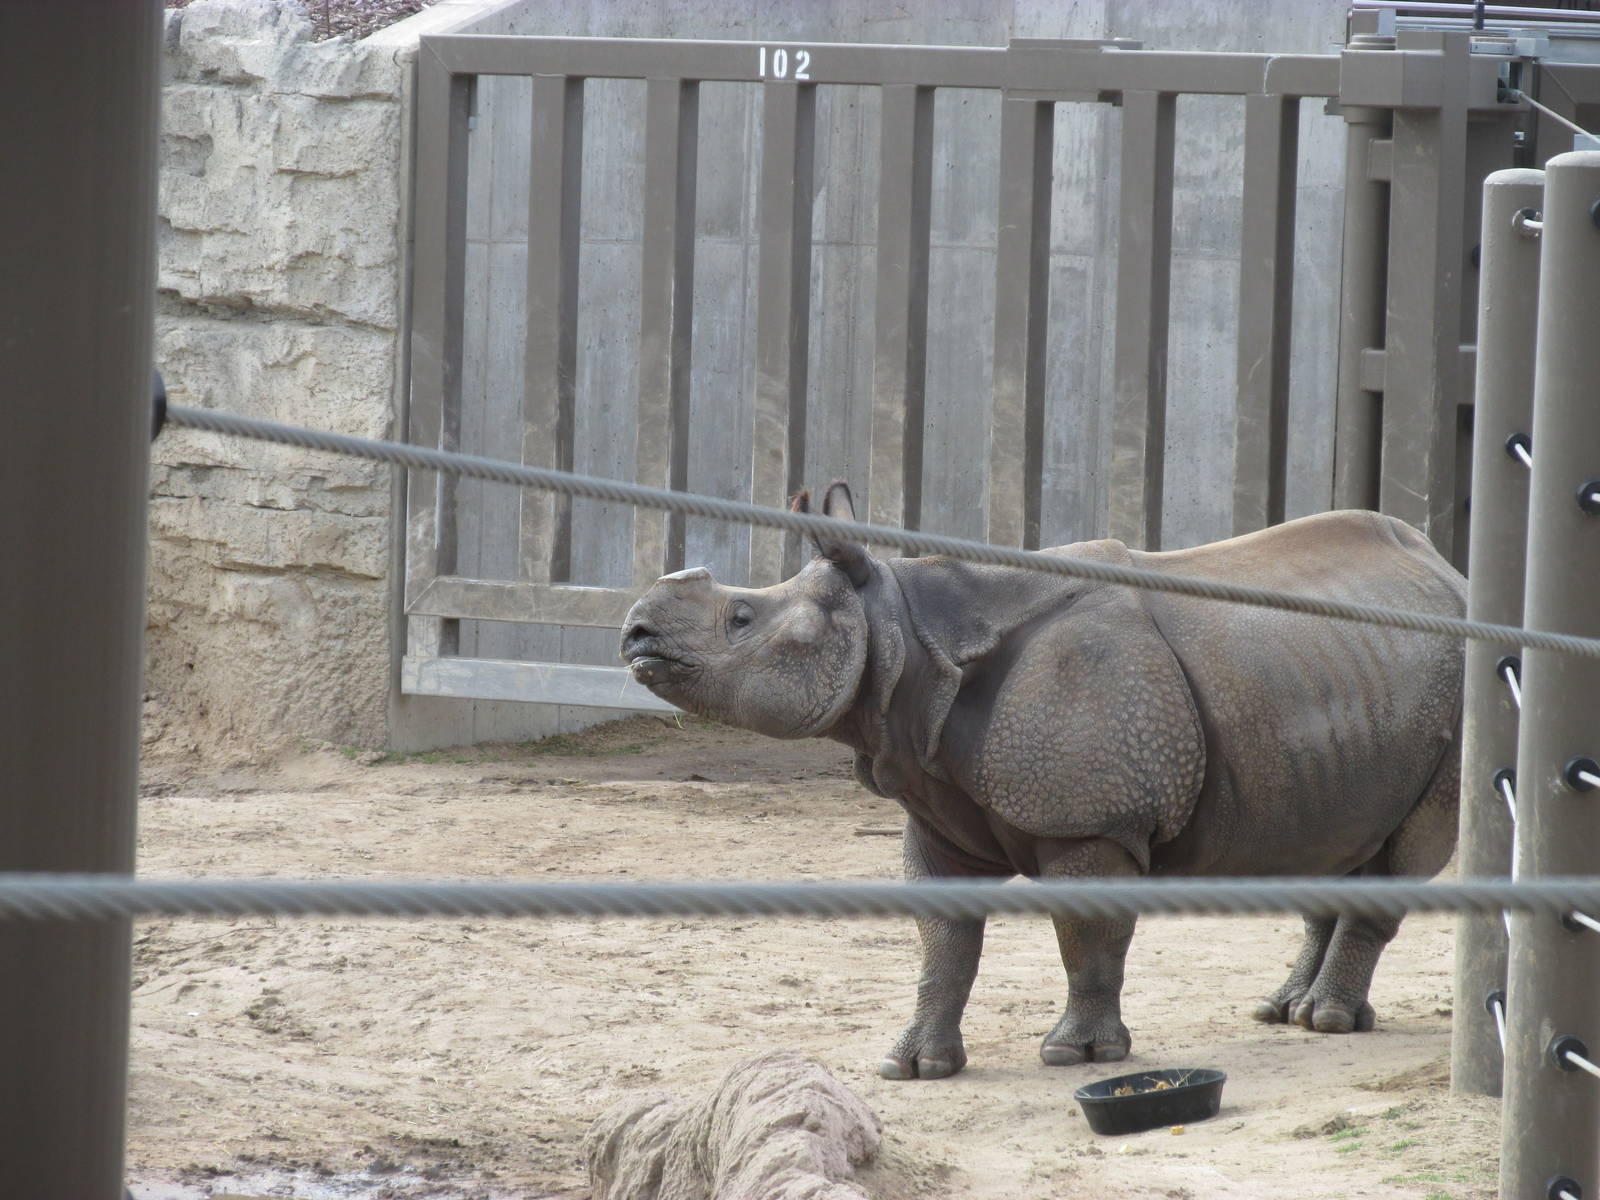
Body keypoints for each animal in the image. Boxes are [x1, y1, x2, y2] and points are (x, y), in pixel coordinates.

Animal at [621, 483, 1465, 1079]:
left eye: (740, 618)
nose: (634, 633)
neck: (900, 632)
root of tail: (1446, 570)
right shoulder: (936, 806)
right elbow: (943, 944)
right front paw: (913, 1066)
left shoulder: (1091, 819)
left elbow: (1086, 937)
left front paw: (1076, 1057)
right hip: (1339, 678)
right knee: (1337, 834)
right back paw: (1283, 1011)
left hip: (1456, 695)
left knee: (1404, 847)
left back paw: (1325, 1021)